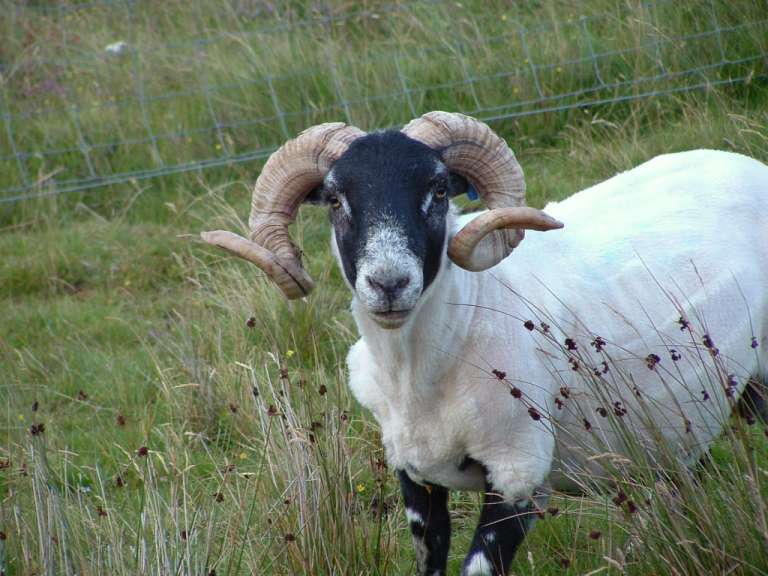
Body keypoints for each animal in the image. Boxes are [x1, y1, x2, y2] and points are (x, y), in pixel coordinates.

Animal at [202, 111, 768, 576]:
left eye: (437, 191)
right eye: (336, 199)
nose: (389, 284)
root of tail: (744, 164)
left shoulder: (519, 473)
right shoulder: (415, 479)